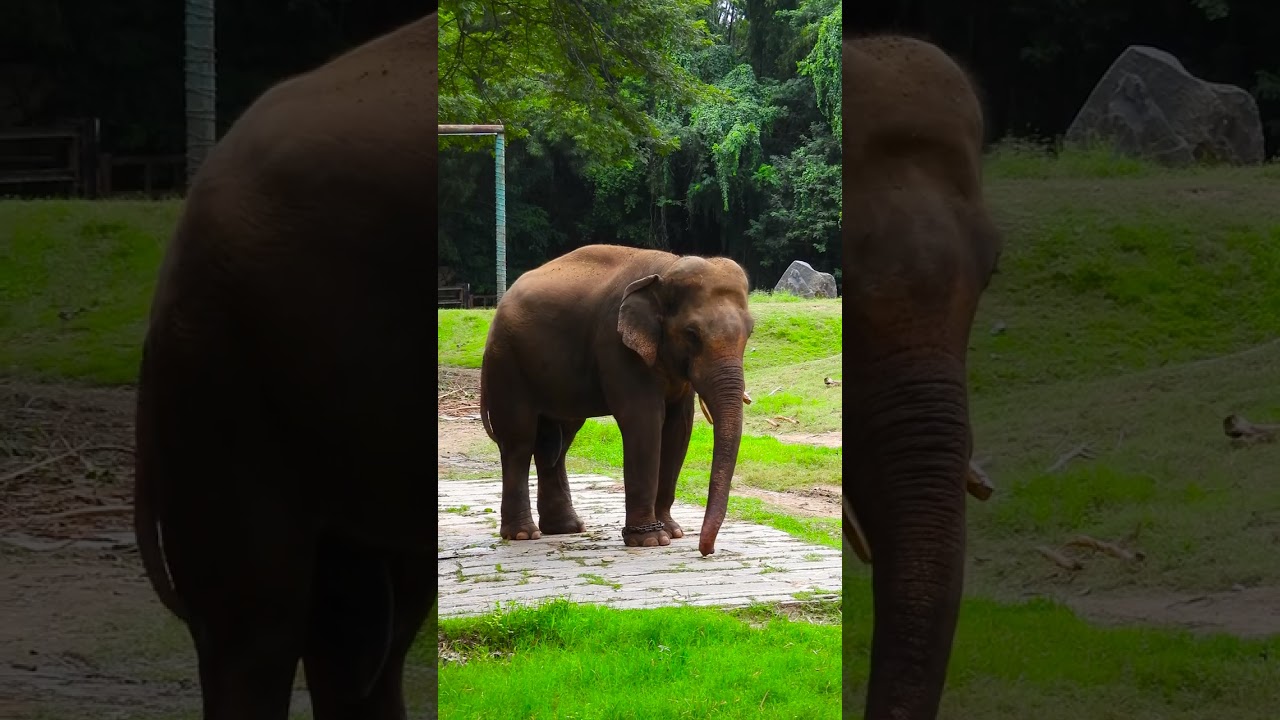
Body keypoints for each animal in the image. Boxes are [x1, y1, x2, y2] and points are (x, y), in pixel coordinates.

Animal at [479, 245, 753, 556]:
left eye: (750, 331)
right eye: (692, 334)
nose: (706, 550)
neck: (667, 269)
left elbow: (678, 429)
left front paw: (672, 531)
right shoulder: (617, 346)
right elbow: (644, 423)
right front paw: (651, 540)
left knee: (557, 441)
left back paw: (566, 528)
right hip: (507, 362)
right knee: (520, 442)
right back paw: (523, 534)